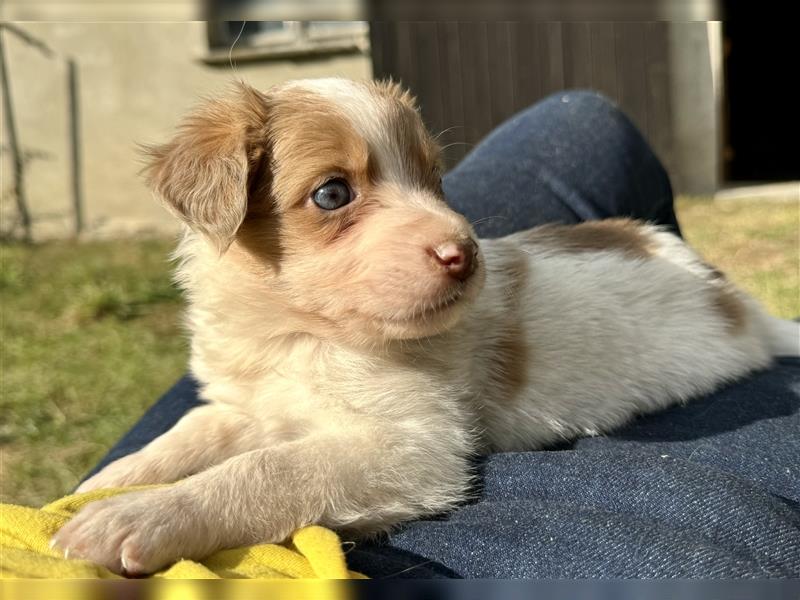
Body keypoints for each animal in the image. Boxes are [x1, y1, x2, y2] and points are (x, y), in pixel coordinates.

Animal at [51, 77, 800, 576]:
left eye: (436, 180)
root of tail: (740, 302)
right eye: (332, 192)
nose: (463, 253)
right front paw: (103, 486)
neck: (300, 335)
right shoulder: (249, 403)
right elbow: (189, 433)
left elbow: (268, 469)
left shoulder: (410, 445)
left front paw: (136, 517)